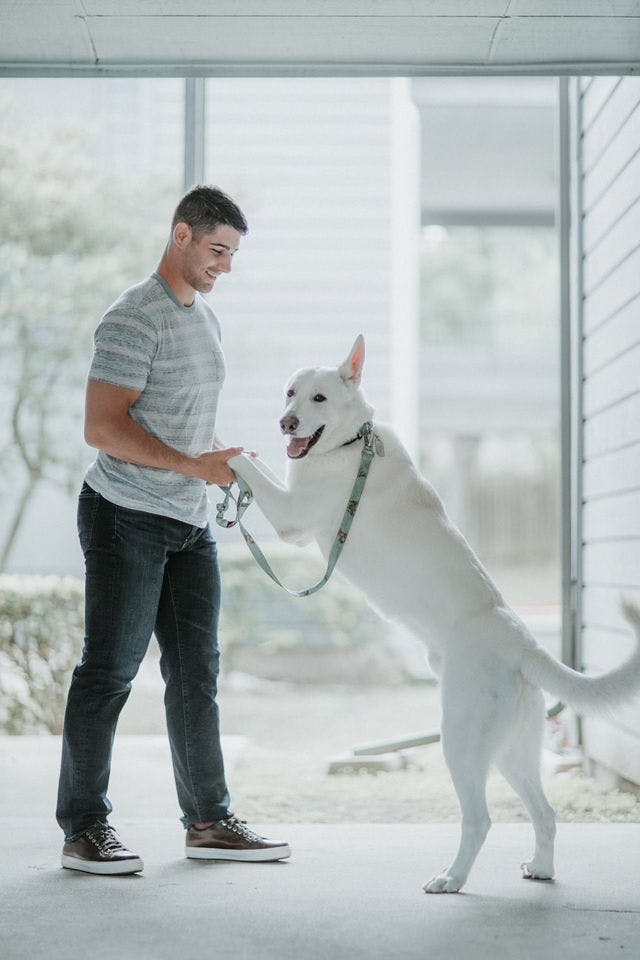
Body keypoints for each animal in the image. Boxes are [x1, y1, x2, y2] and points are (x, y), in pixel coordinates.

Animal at [230, 336, 640, 892]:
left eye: (319, 398)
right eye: (290, 392)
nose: (285, 423)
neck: (349, 445)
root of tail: (524, 643)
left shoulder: (290, 516)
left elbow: (245, 466)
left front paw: (216, 450)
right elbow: (257, 465)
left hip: (461, 741)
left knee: (480, 818)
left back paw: (453, 878)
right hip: (511, 750)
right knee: (547, 813)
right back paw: (540, 868)